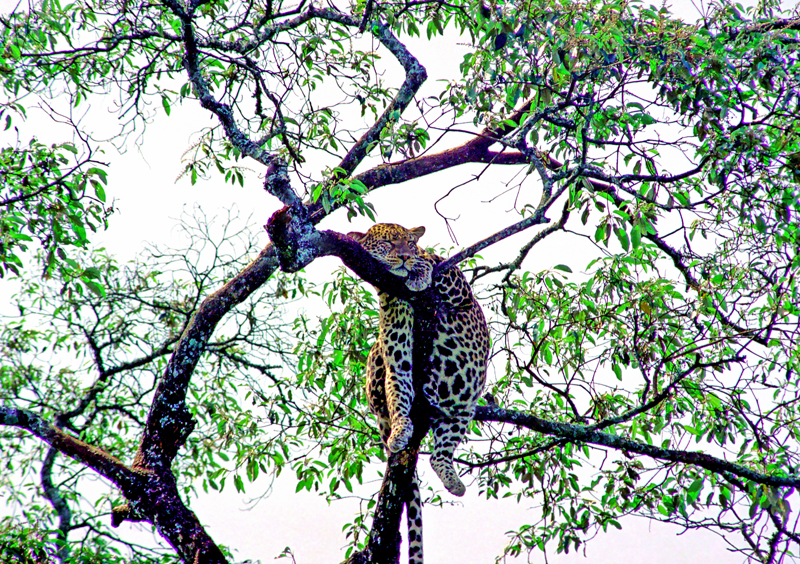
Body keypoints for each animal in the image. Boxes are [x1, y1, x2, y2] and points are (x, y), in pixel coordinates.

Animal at [346, 223, 490, 560]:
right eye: (387, 242)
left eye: (410, 243)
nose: (403, 256)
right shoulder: (397, 354)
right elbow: (398, 387)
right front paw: (402, 430)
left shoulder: (458, 289)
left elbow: (434, 263)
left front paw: (419, 271)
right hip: (378, 361)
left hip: (463, 406)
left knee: (442, 451)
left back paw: (453, 481)